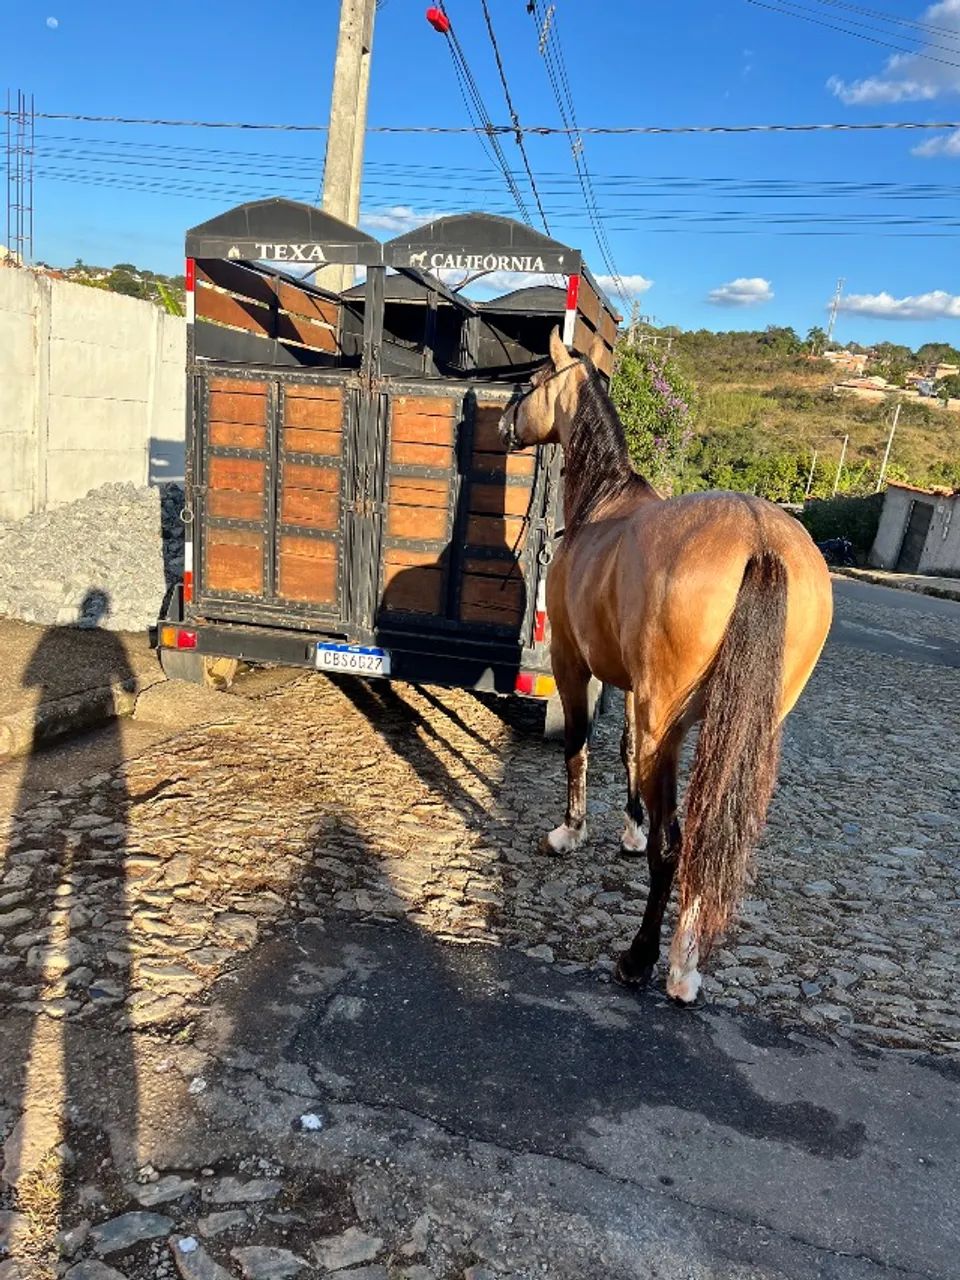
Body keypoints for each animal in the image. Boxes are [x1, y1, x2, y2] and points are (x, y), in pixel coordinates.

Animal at [499, 327, 833, 1005]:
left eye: (535, 380)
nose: (502, 422)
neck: (603, 503)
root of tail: (759, 538)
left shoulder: (574, 665)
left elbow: (579, 745)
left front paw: (570, 831)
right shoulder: (633, 688)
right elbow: (625, 749)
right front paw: (627, 829)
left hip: (669, 725)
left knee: (675, 844)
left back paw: (643, 958)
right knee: (704, 836)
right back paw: (685, 965)